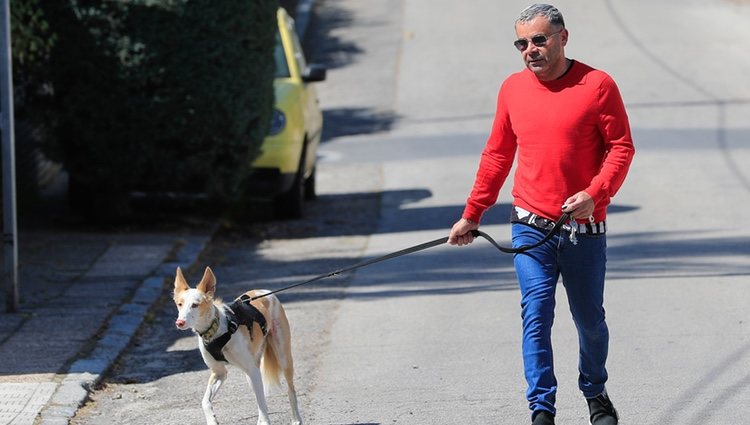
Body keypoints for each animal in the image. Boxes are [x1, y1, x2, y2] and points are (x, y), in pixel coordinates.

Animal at [175, 266, 304, 424]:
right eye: (179, 304)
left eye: (195, 305)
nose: (179, 322)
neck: (216, 330)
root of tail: (265, 292)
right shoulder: (219, 372)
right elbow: (205, 401)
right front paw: (212, 419)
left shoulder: (252, 370)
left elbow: (263, 404)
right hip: (252, 372)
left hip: (282, 358)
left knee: (290, 390)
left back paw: (296, 419)